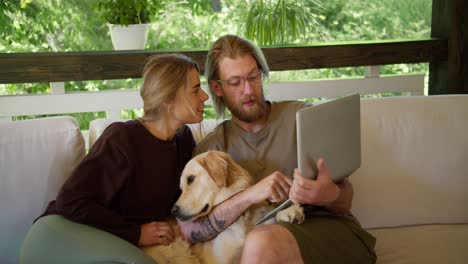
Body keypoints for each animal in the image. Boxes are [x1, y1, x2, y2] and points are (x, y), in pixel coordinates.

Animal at [143, 151, 304, 264]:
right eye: (181, 188)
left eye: (190, 179)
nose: (173, 211)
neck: (240, 219)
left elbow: (268, 218)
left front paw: (290, 210)